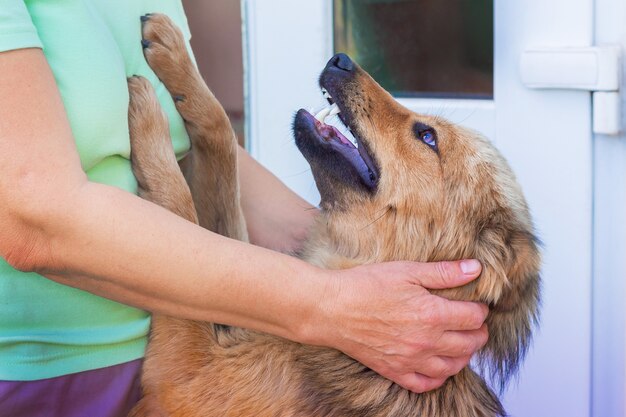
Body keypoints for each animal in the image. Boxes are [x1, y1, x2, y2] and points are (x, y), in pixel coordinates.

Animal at [125, 13, 536, 416]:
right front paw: (178, 61)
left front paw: (148, 114)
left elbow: (180, 205)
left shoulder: (187, 375)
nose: (340, 59)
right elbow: (221, 135)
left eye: (427, 137)